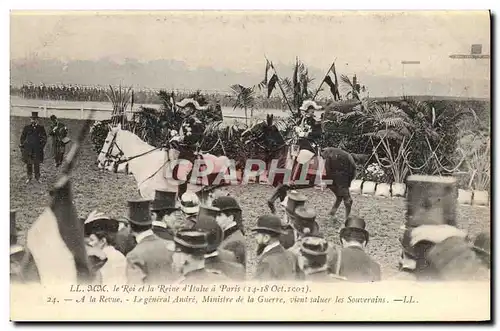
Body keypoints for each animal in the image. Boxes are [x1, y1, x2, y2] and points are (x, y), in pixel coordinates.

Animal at [240, 114, 370, 220]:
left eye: (259, 127)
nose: (242, 135)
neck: (280, 154)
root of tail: (350, 155)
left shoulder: (282, 185)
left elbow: (270, 202)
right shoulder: (282, 189)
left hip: (341, 184)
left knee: (348, 201)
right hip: (333, 184)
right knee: (339, 197)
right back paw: (331, 215)